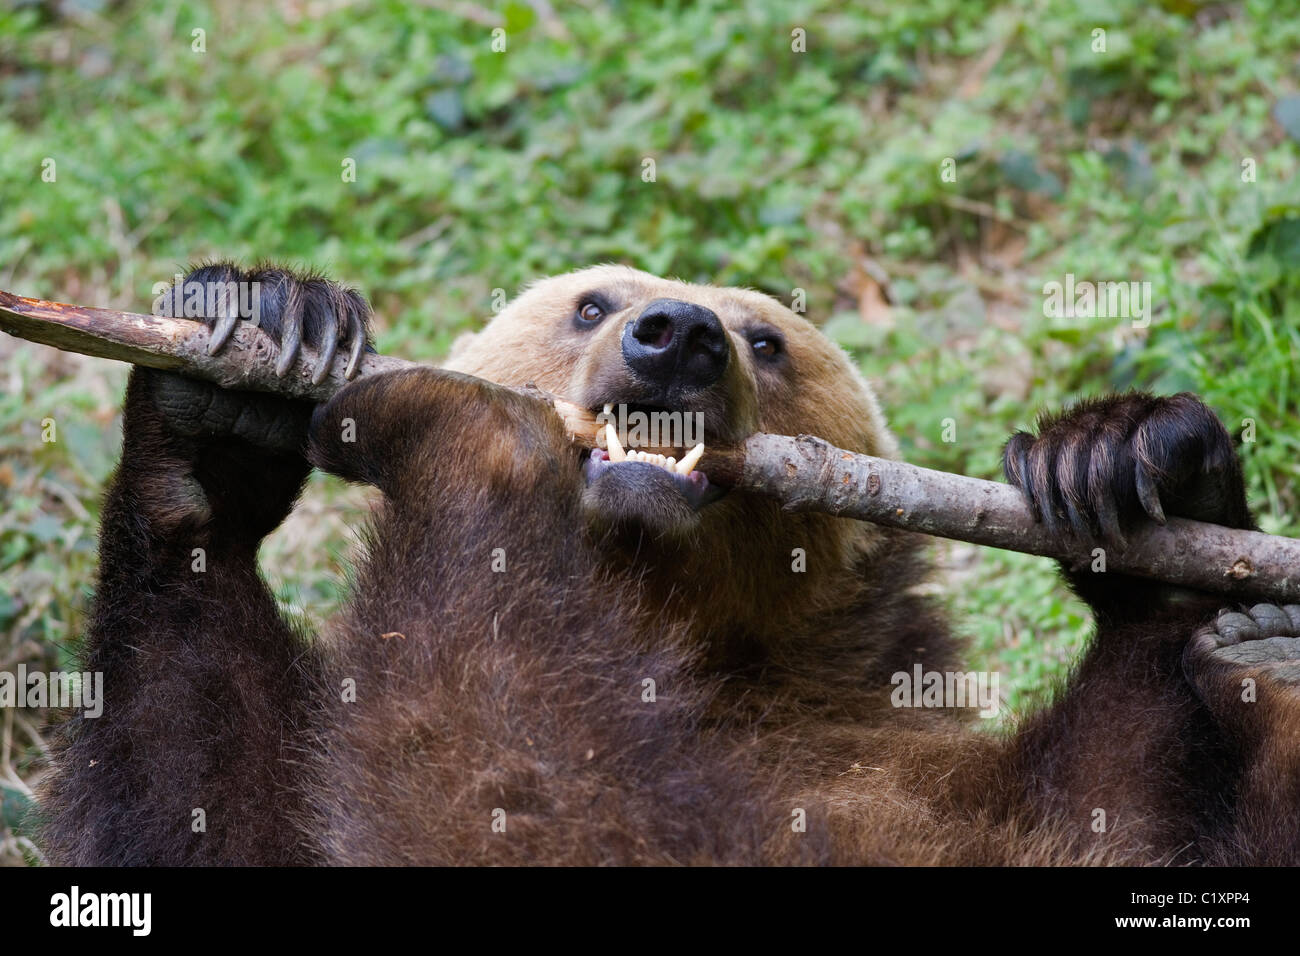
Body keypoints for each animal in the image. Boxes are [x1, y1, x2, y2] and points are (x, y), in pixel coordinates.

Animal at [37, 263, 1300, 865]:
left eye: (766, 337)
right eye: (590, 297)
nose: (676, 332)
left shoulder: (885, 765)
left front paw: (1125, 453)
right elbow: (209, 802)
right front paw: (245, 354)